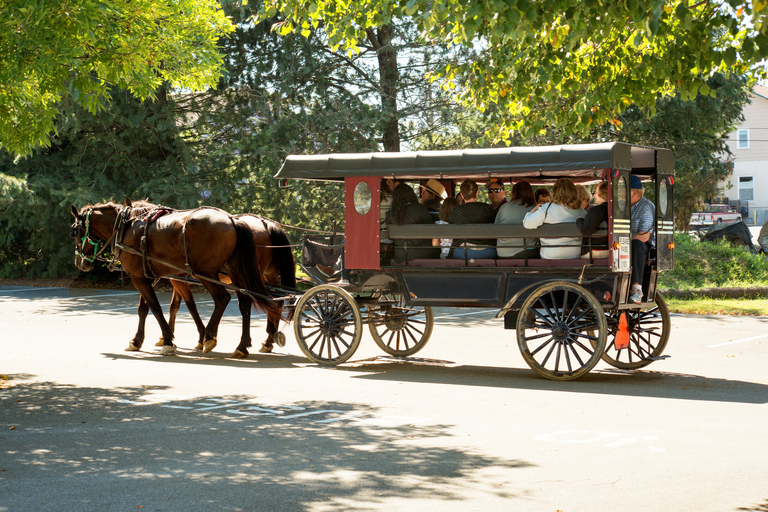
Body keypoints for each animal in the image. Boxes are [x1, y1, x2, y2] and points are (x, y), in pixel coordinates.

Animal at [71, 200, 294, 356]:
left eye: (75, 231)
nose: (80, 262)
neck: (127, 227)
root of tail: (233, 220)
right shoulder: (148, 276)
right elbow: (149, 308)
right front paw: (139, 340)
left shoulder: (147, 278)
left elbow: (160, 307)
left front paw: (170, 340)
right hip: (240, 273)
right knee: (249, 302)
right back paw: (244, 345)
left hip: (208, 272)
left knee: (224, 299)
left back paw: (213, 337)